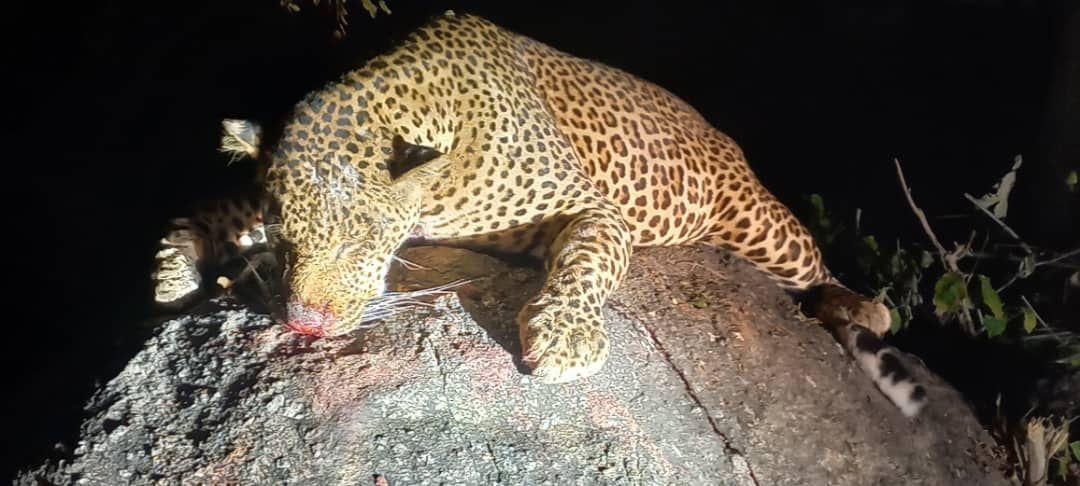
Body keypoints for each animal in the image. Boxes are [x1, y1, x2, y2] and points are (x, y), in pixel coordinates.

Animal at [152, 10, 926, 416]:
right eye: (289, 240)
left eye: (361, 239)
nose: (304, 324)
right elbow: (217, 205)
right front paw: (175, 264)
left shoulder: (590, 207)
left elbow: (590, 258)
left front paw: (567, 336)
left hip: (755, 219)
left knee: (815, 266)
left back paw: (864, 307)